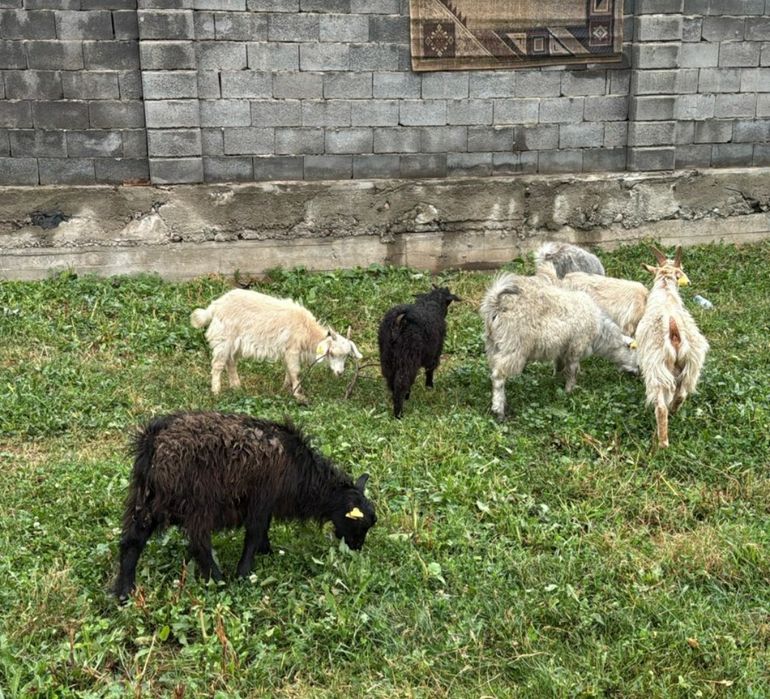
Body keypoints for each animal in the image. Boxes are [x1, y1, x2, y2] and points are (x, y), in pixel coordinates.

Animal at [114, 411, 376, 600]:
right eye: (360, 524)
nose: (356, 549)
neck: (301, 471)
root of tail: (152, 441)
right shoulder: (261, 499)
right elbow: (254, 533)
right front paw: (244, 571)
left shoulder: (265, 503)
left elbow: (263, 530)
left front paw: (267, 552)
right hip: (198, 502)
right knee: (199, 544)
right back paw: (218, 579)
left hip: (146, 499)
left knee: (132, 540)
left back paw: (124, 591)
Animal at [191, 288, 362, 403]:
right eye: (331, 353)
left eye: (347, 356)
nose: (340, 372)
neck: (307, 331)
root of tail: (214, 307)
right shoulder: (292, 349)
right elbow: (295, 371)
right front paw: (298, 394)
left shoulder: (288, 351)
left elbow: (288, 370)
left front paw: (285, 388)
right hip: (224, 338)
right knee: (217, 365)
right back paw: (216, 391)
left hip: (235, 343)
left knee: (231, 362)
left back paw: (236, 387)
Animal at [378, 285, 460, 418]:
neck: (430, 304)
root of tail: (399, 320)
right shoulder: (435, 353)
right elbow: (430, 370)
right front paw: (429, 386)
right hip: (408, 357)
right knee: (401, 382)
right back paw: (399, 413)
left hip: (387, 357)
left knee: (391, 381)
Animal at [481, 272, 638, 419]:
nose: (637, 374)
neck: (599, 332)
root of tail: (497, 302)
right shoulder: (576, 346)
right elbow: (572, 370)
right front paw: (570, 391)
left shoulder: (562, 348)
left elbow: (560, 366)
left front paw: (557, 382)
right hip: (513, 345)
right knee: (499, 377)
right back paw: (499, 410)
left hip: (493, 344)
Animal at [636, 246, 708, 448]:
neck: (665, 290)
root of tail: (674, 330)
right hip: (690, 365)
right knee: (682, 394)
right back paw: (674, 411)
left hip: (657, 369)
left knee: (660, 407)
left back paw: (662, 443)